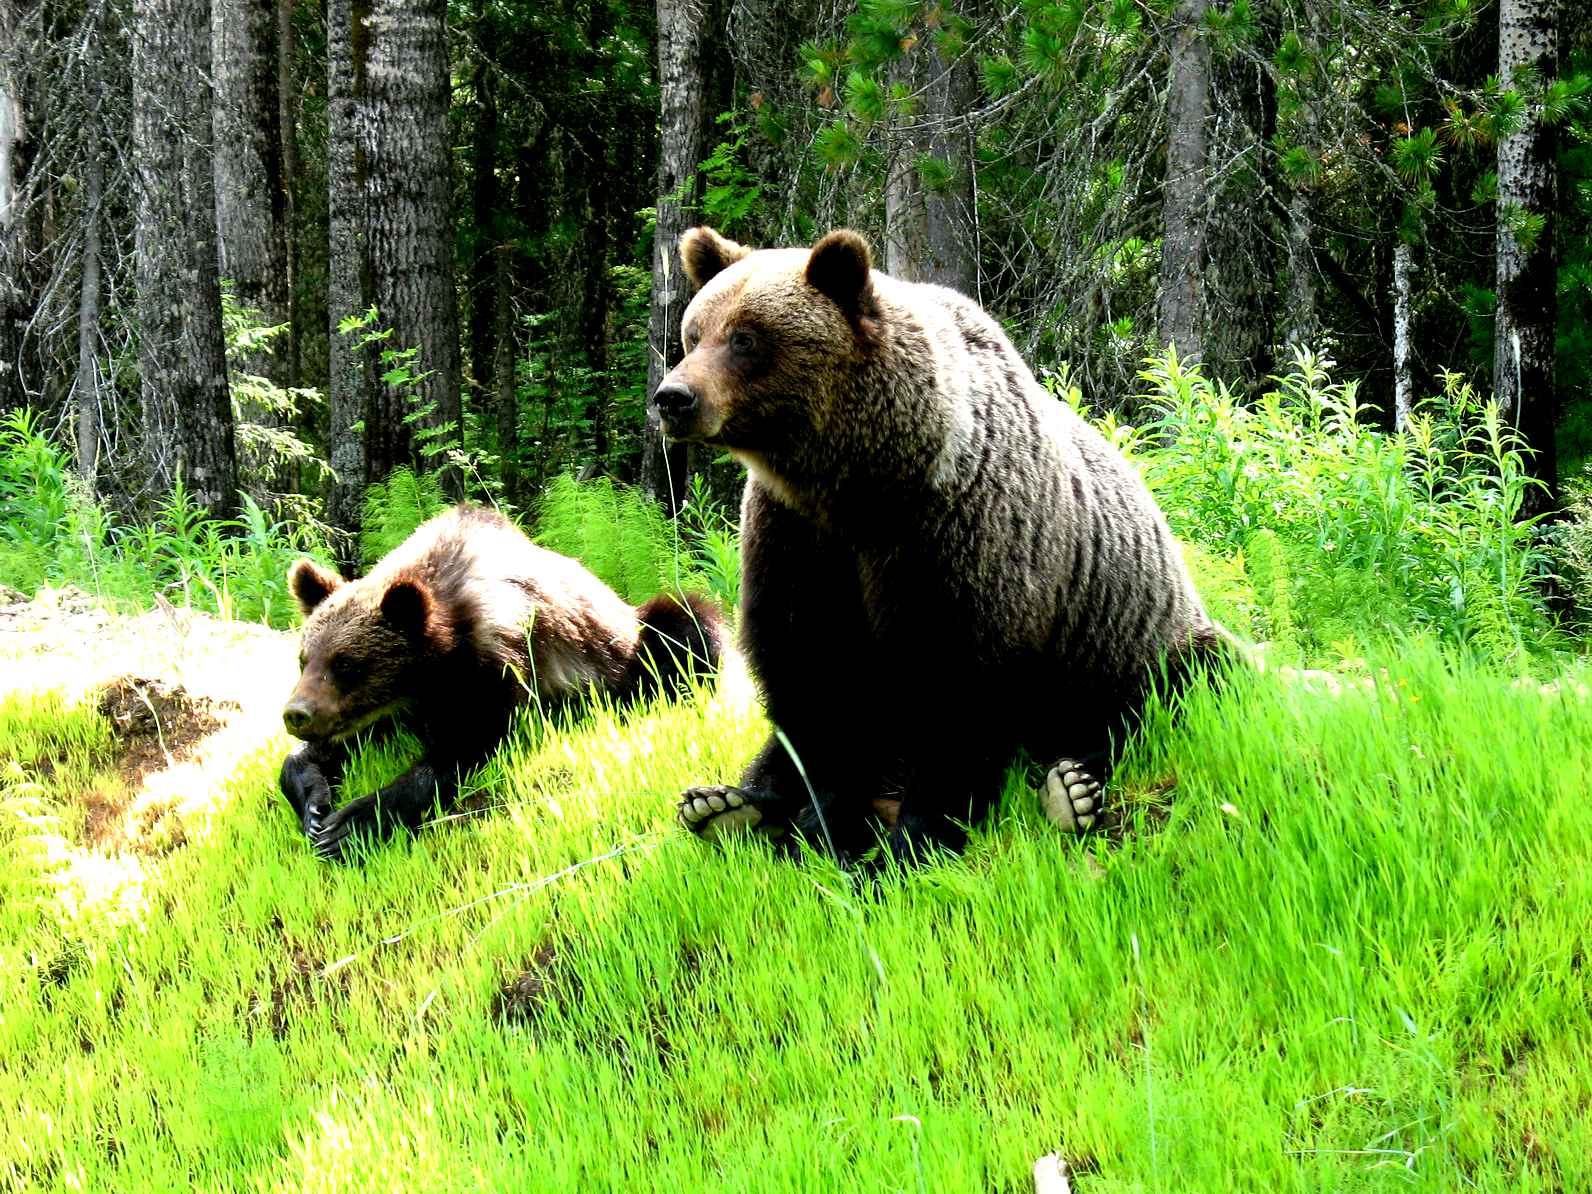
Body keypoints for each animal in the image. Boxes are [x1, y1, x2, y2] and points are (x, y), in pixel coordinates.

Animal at [283, 506, 725, 859]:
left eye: (346, 664)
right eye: (305, 658)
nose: (295, 714)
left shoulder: (494, 665)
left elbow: (466, 745)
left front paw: (353, 823)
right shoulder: (391, 707)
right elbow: (321, 752)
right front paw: (314, 802)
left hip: (637, 640)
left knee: (686, 623)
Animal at [646, 224, 1229, 866]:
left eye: (745, 338)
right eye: (694, 333)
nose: (672, 397)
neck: (861, 482)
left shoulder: (954, 533)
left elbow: (952, 691)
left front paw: (913, 836)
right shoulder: (798, 535)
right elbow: (810, 674)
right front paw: (824, 820)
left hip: (1131, 636)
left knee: (1168, 693)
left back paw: (1072, 788)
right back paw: (723, 804)